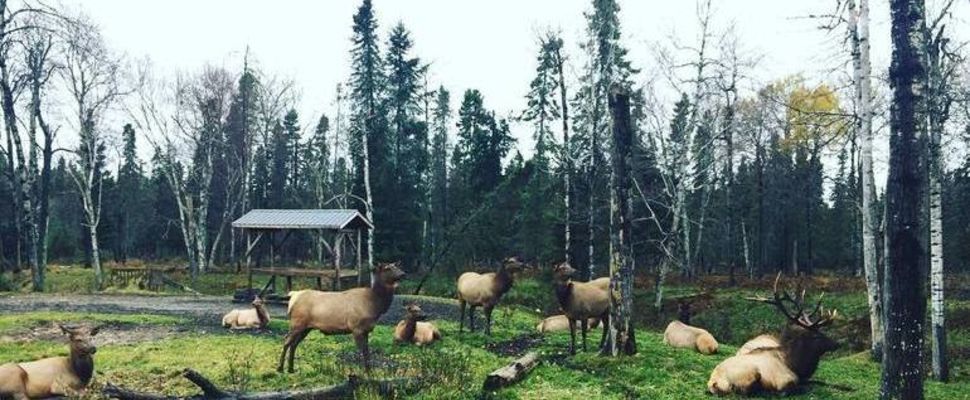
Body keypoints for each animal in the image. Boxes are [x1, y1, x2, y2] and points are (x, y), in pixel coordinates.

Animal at [276, 262, 404, 372]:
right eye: (387, 268)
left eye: (396, 266)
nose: (403, 273)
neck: (376, 305)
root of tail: (293, 296)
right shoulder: (356, 327)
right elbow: (362, 351)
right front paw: (365, 371)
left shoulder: (366, 330)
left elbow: (367, 351)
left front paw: (370, 371)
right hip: (297, 323)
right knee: (286, 340)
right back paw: (280, 368)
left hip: (306, 327)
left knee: (294, 344)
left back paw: (291, 369)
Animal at [704, 274, 840, 396]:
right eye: (816, 336)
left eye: (822, 332)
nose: (837, 344)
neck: (795, 365)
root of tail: (713, 383)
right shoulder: (785, 380)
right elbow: (793, 389)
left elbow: (818, 382)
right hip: (751, 374)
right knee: (747, 391)